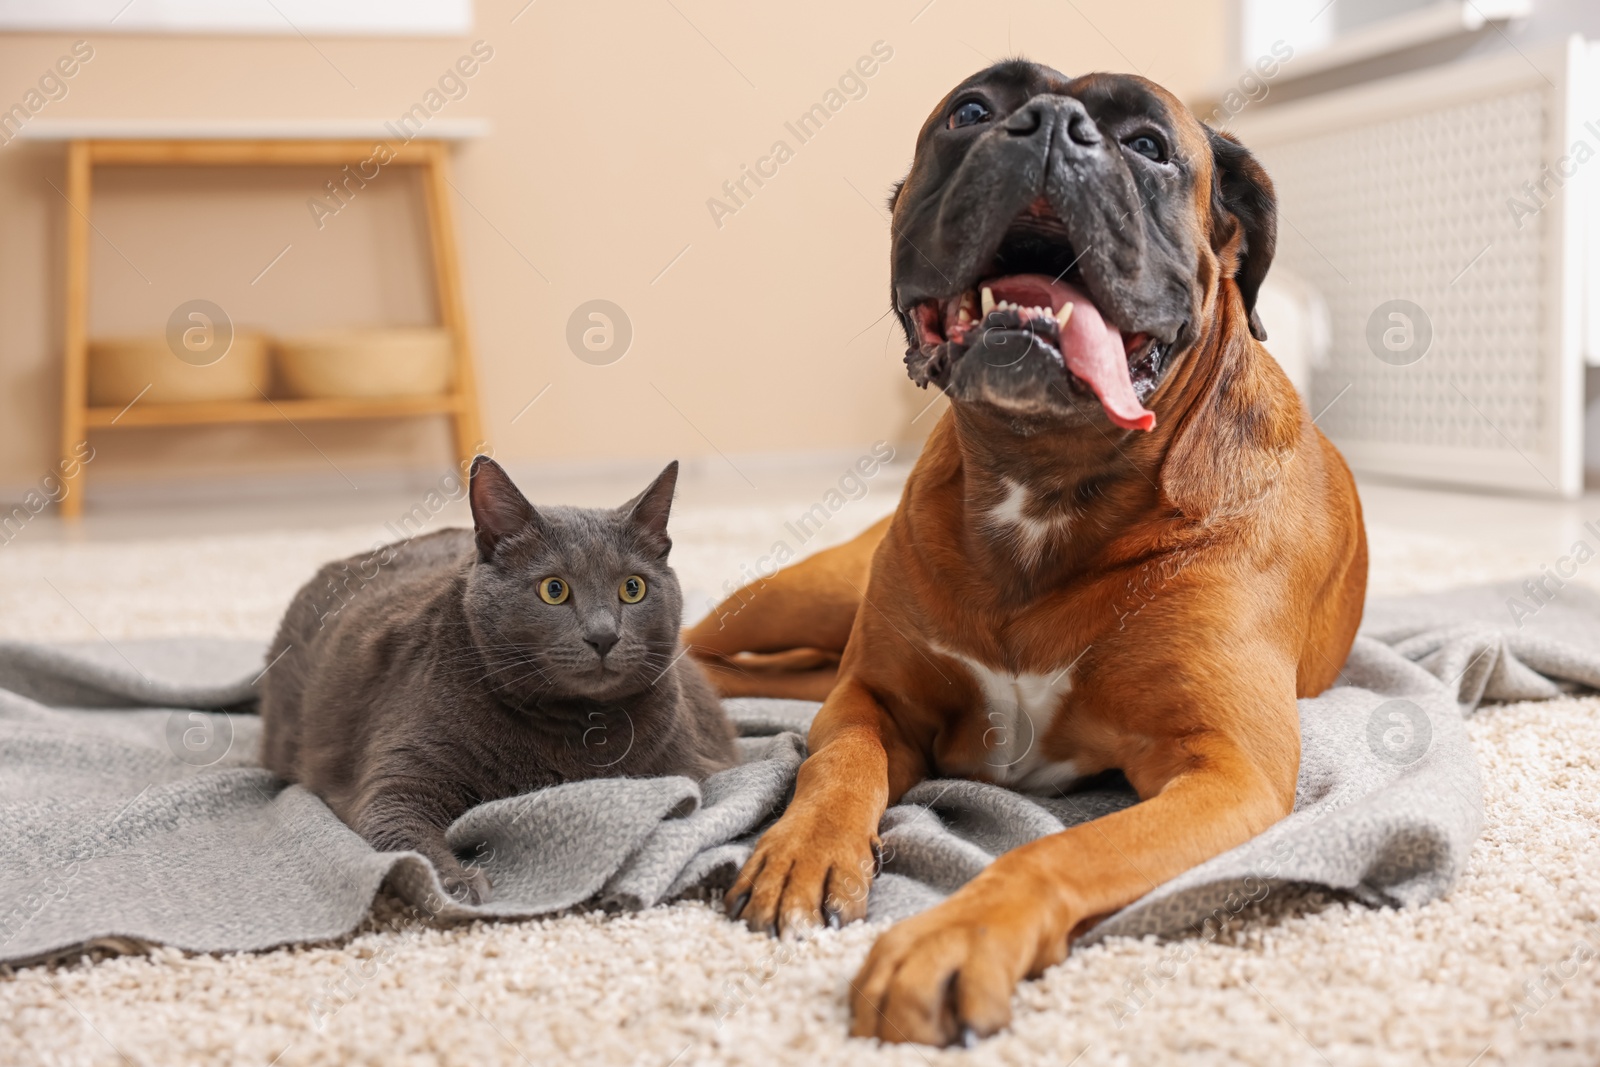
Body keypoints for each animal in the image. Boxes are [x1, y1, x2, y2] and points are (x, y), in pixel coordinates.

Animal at [259, 454, 739, 908]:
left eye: (633, 588)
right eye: (553, 590)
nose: (603, 636)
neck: (577, 729)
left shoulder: (694, 765)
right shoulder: (397, 778)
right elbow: (401, 835)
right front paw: (454, 884)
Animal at [681, 60, 1369, 1049]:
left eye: (1149, 145)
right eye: (971, 109)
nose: (1050, 124)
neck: (1046, 479)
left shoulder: (1226, 771)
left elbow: (1060, 849)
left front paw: (957, 933)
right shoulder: (872, 697)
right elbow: (835, 765)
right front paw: (803, 849)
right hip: (794, 595)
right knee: (702, 646)